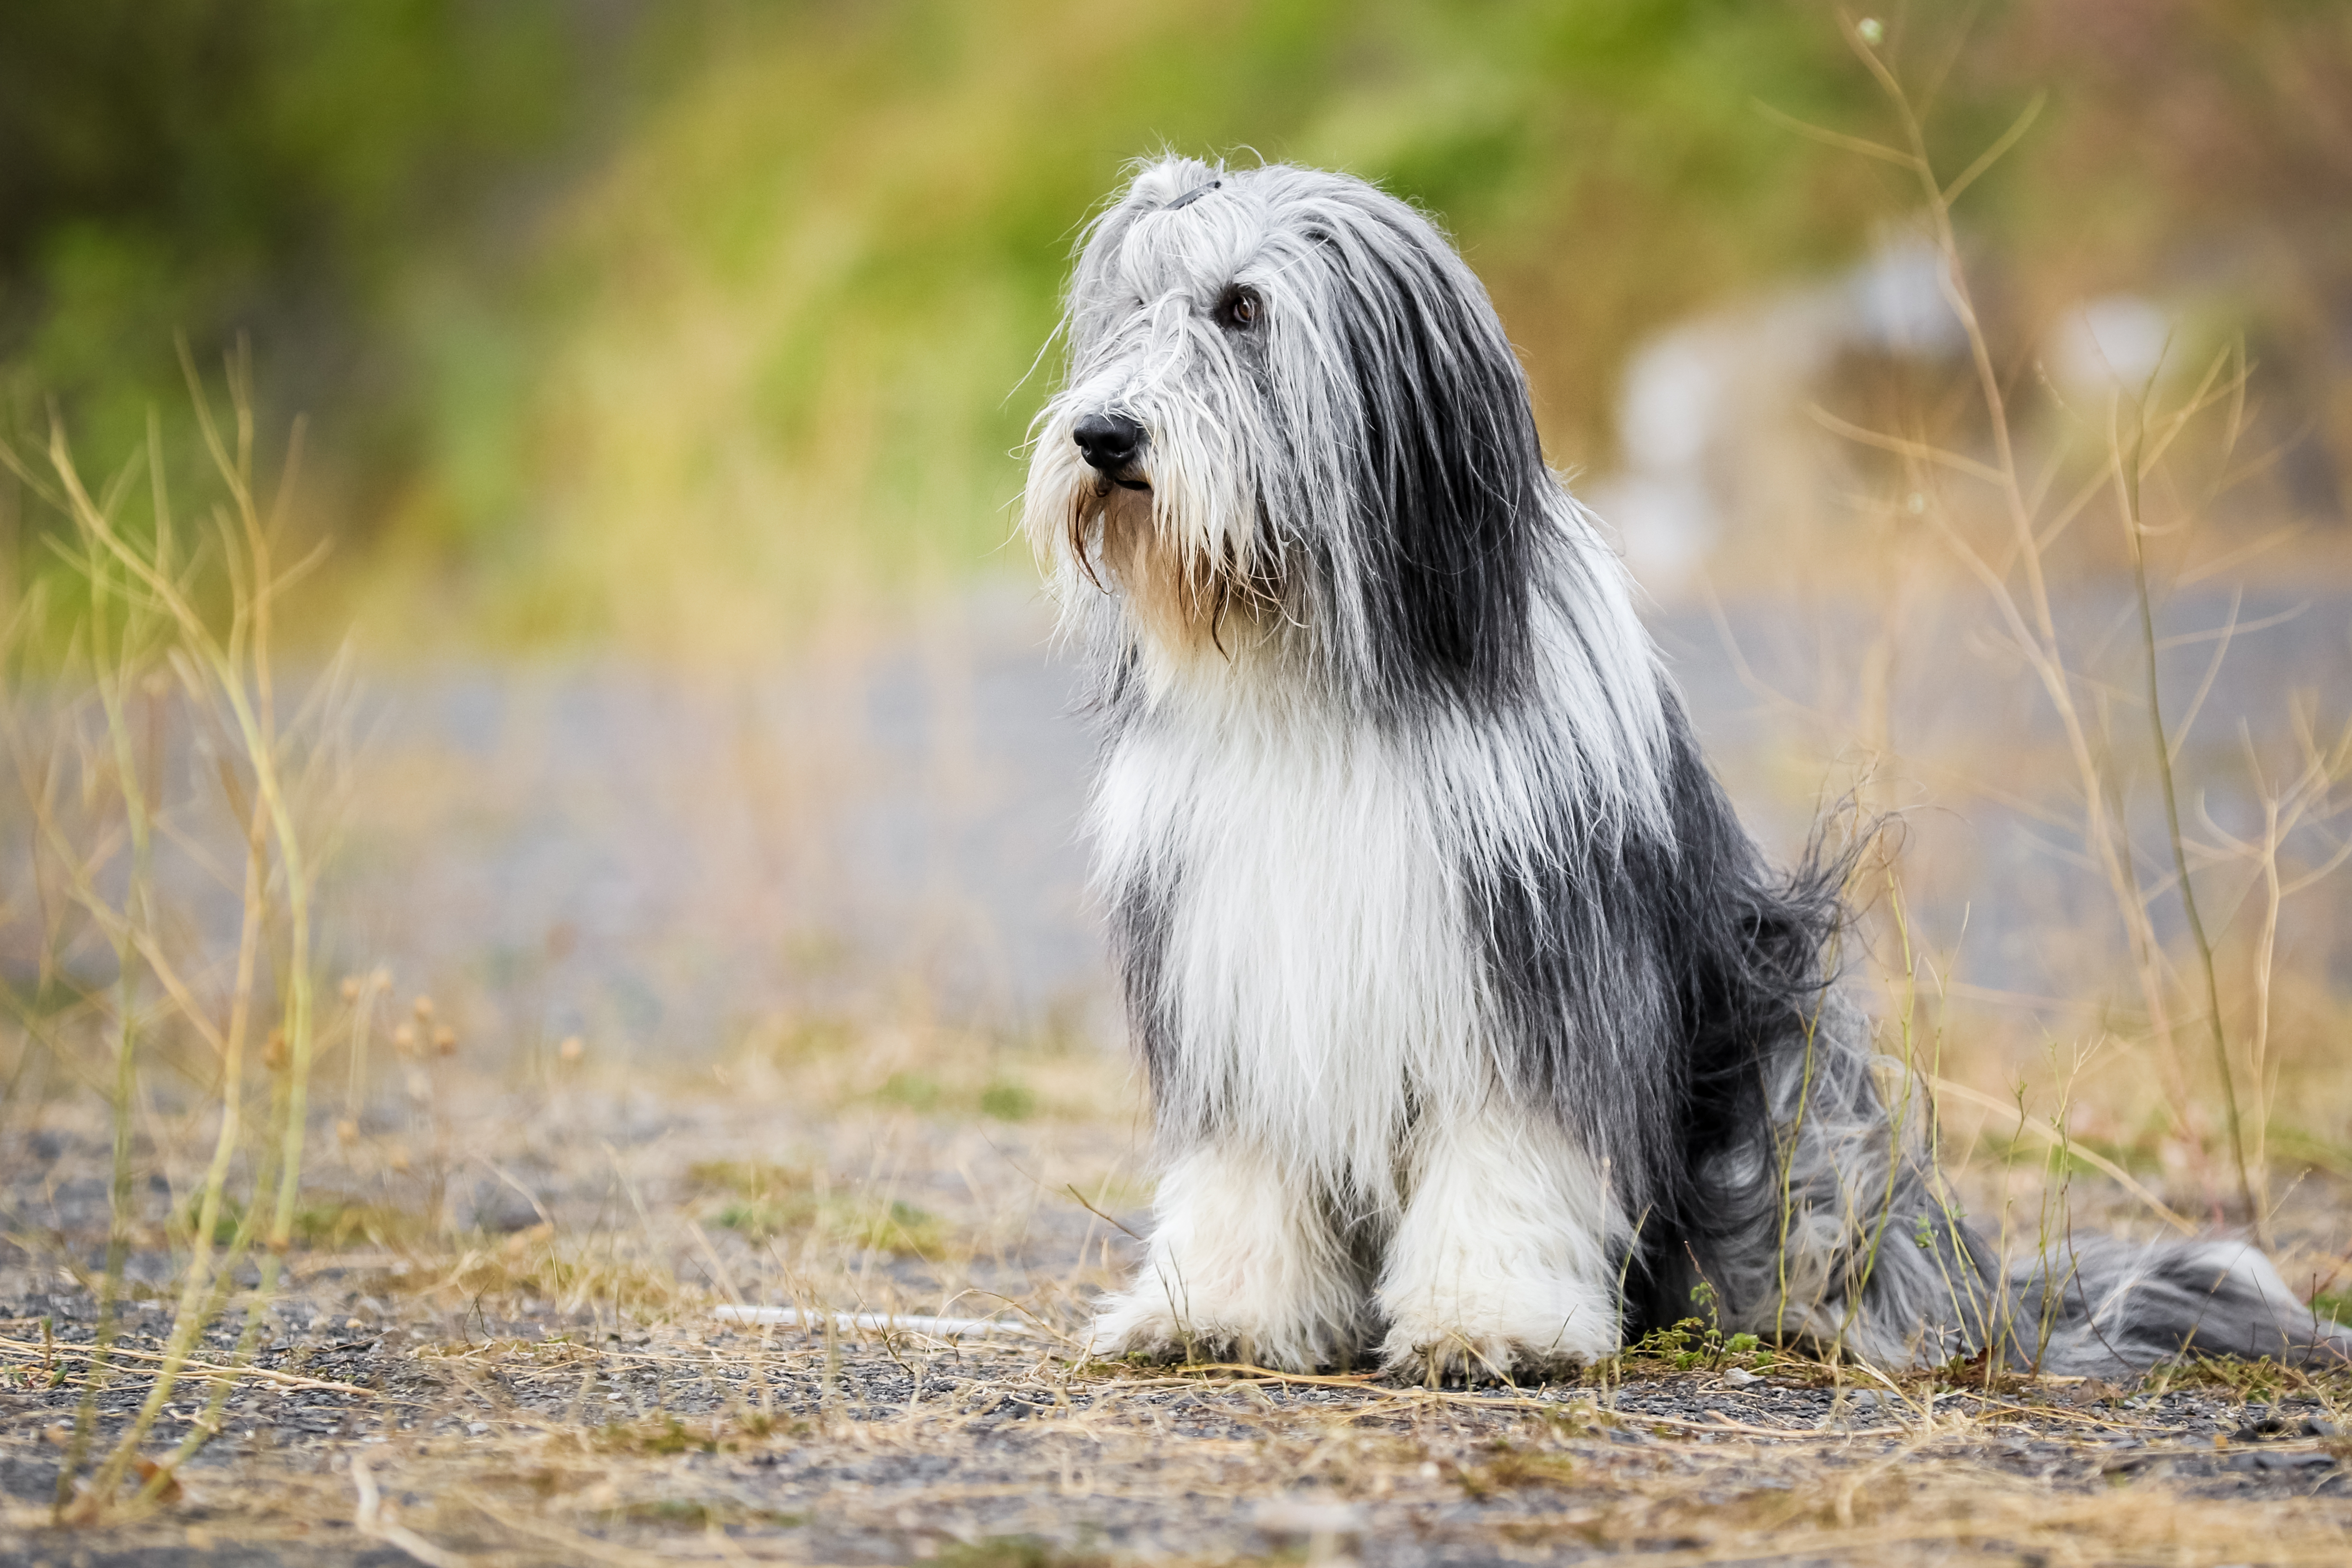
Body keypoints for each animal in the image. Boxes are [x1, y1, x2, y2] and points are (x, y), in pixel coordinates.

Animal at [1020, 153, 2343, 1382]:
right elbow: (1242, 1170)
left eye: (1241, 310)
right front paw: (1218, 1313)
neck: (1318, 677)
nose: (1101, 436)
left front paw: (1488, 1325)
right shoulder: (1233, 971)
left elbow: (1508, 1155)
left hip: (1793, 1067)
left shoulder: (1534, 974)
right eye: (1129, 310)